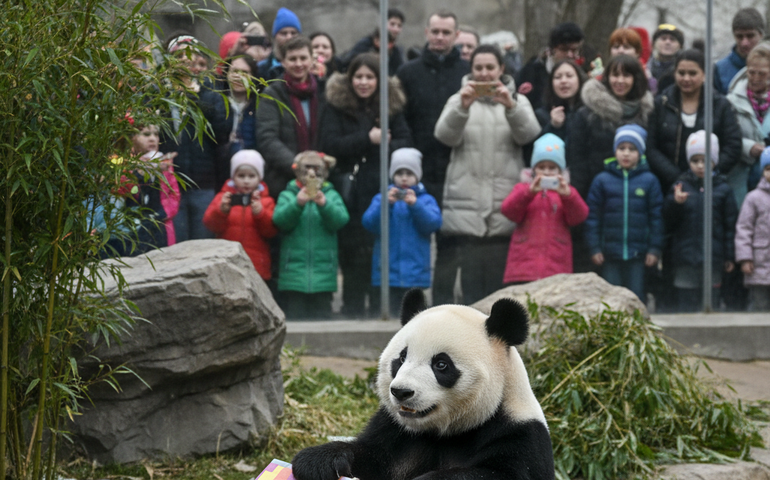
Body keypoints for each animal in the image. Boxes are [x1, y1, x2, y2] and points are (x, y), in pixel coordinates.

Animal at [291, 289, 554, 480]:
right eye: (401, 358)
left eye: (441, 364)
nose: (401, 392)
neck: (447, 433)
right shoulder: (396, 432)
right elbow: (371, 456)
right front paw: (318, 461)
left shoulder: (519, 437)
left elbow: (498, 473)